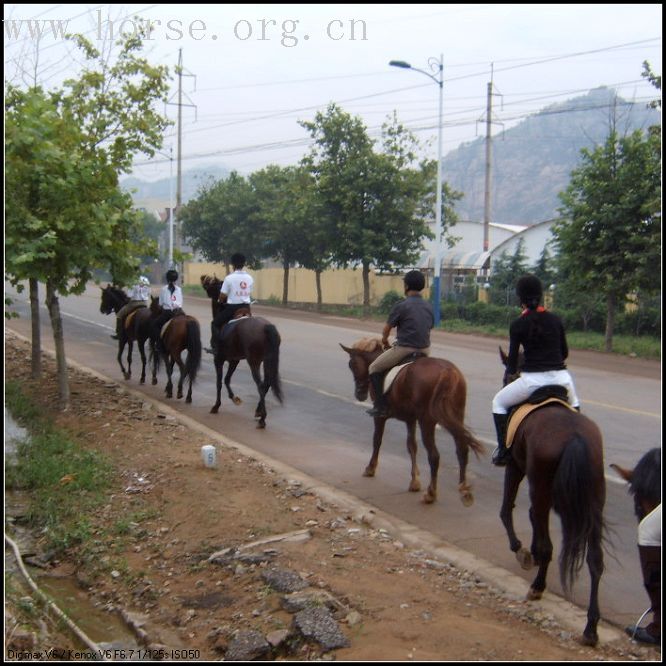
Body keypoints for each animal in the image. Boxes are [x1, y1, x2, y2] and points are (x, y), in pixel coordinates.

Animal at [340, 338, 480, 504]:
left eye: (352, 365)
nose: (359, 394)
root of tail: (447, 372)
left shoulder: (380, 417)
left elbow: (377, 440)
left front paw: (370, 468)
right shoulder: (410, 419)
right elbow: (412, 446)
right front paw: (414, 481)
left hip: (427, 421)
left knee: (434, 455)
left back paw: (431, 493)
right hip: (456, 415)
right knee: (462, 449)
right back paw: (463, 489)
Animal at [496, 348, 604, 644]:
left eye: (507, 375)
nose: (506, 381)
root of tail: (575, 436)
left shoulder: (516, 465)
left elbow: (506, 509)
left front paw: (521, 550)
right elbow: (531, 516)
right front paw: (528, 549)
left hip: (540, 482)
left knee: (548, 545)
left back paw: (537, 586)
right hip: (593, 500)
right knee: (595, 561)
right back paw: (591, 627)